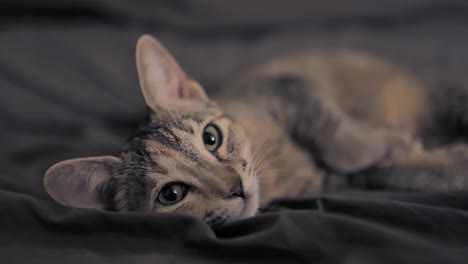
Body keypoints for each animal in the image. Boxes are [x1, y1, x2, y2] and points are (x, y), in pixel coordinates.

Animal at [44, 33, 468, 227]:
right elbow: (395, 170)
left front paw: (383, 143)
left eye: (211, 138)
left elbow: (336, 134)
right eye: (172, 194)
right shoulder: (342, 179)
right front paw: (441, 161)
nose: (235, 186)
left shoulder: (288, 88)